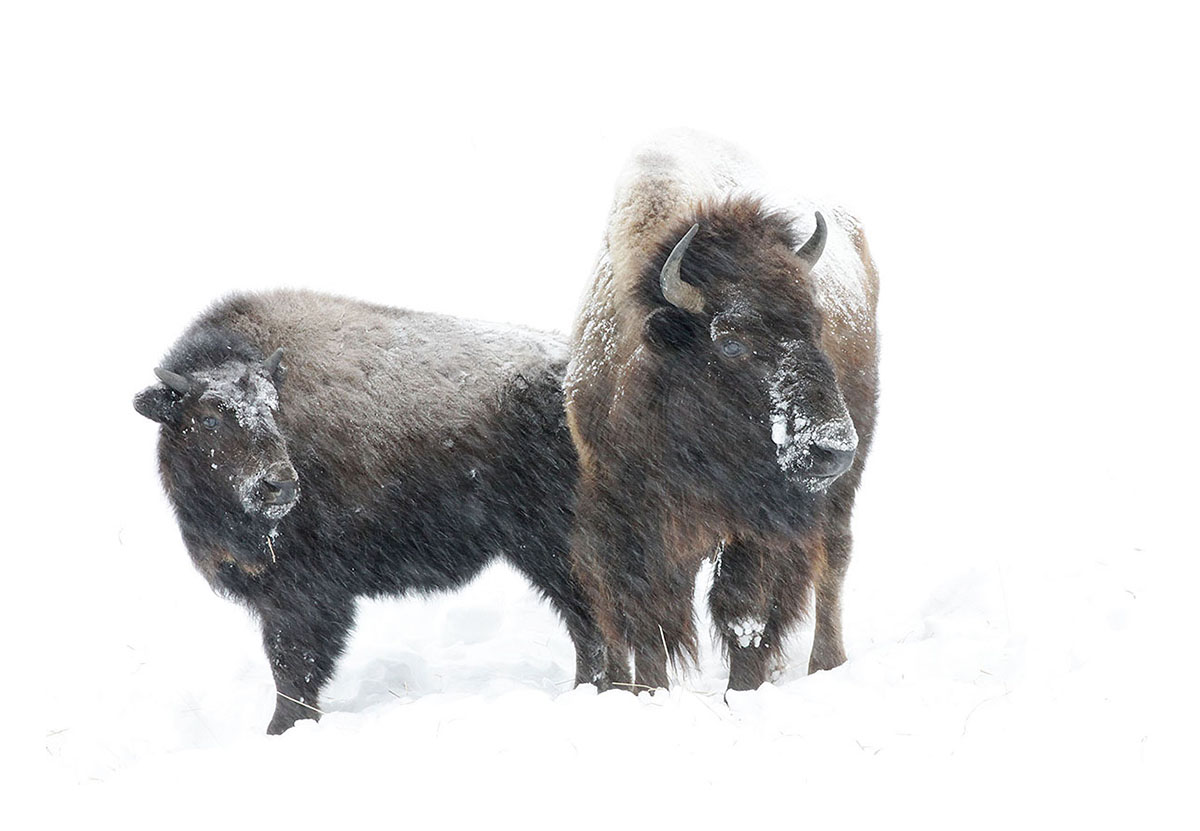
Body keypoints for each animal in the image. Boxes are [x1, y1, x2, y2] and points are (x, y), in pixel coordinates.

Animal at [135, 289, 601, 733]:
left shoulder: (302, 597)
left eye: (272, 408)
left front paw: (282, 728)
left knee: (589, 617)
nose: (279, 485)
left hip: (549, 547)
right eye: (208, 419)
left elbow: (294, 666)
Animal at [565, 132, 880, 692]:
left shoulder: (755, 524)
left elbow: (743, 610)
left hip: (845, 482)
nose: (831, 447)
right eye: (730, 343)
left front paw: (742, 693)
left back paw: (826, 663)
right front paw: (648, 692)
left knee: (832, 558)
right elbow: (644, 611)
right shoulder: (626, 508)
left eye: (816, 323)